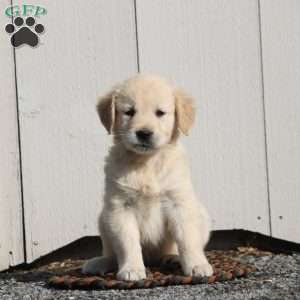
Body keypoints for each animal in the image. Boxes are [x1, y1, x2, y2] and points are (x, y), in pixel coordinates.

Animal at [82, 74, 213, 280]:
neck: (147, 163)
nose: (144, 133)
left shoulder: (179, 203)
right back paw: (100, 262)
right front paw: (131, 269)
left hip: (201, 214)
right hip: (103, 218)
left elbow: (188, 239)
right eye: (129, 112)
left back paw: (172, 258)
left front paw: (197, 265)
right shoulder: (120, 207)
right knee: (111, 253)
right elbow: (127, 243)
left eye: (160, 113)